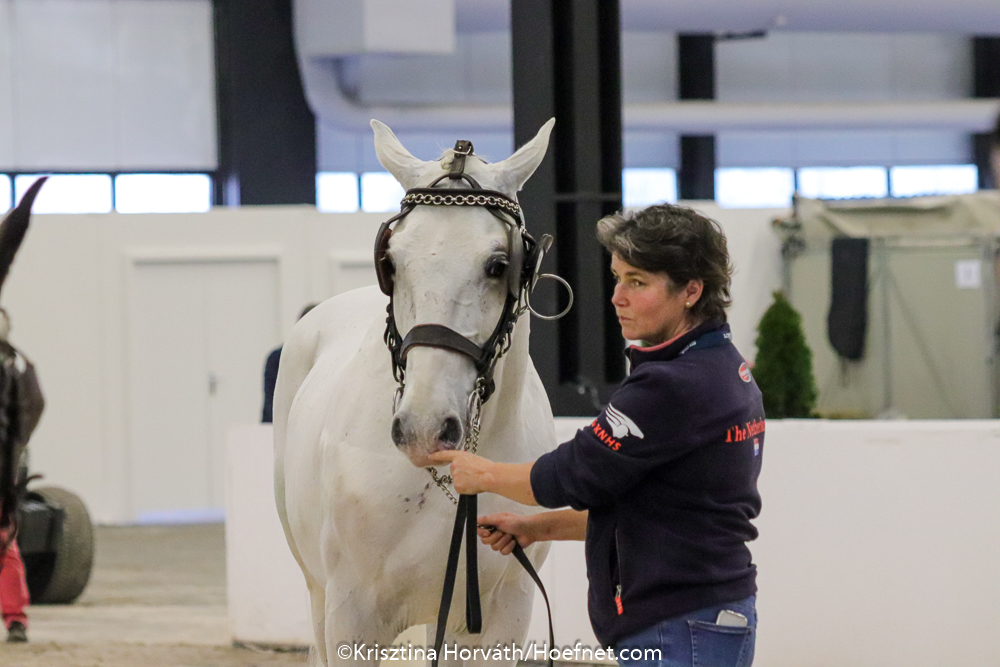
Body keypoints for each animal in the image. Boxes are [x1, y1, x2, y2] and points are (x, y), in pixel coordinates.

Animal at [273, 119, 559, 666]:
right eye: (392, 260)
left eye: (498, 264)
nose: (424, 429)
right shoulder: (350, 615)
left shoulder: (502, 617)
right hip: (317, 595)